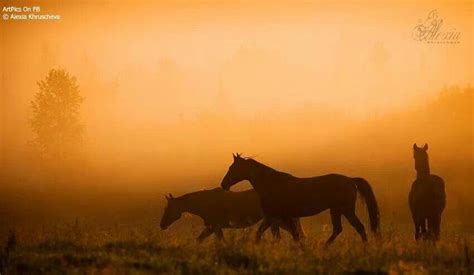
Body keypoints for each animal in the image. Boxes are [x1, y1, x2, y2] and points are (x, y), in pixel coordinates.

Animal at [161, 189, 306, 243]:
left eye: (168, 208)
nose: (162, 225)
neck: (204, 202)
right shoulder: (212, 227)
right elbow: (199, 239)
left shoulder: (215, 226)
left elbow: (221, 241)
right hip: (278, 221)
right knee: (297, 235)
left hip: (277, 221)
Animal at [220, 153, 380, 246]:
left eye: (232, 168)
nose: (223, 184)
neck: (272, 184)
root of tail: (351, 180)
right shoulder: (273, 217)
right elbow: (264, 234)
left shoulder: (279, 216)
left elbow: (293, 235)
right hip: (336, 210)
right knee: (339, 229)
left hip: (345, 209)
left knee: (359, 227)